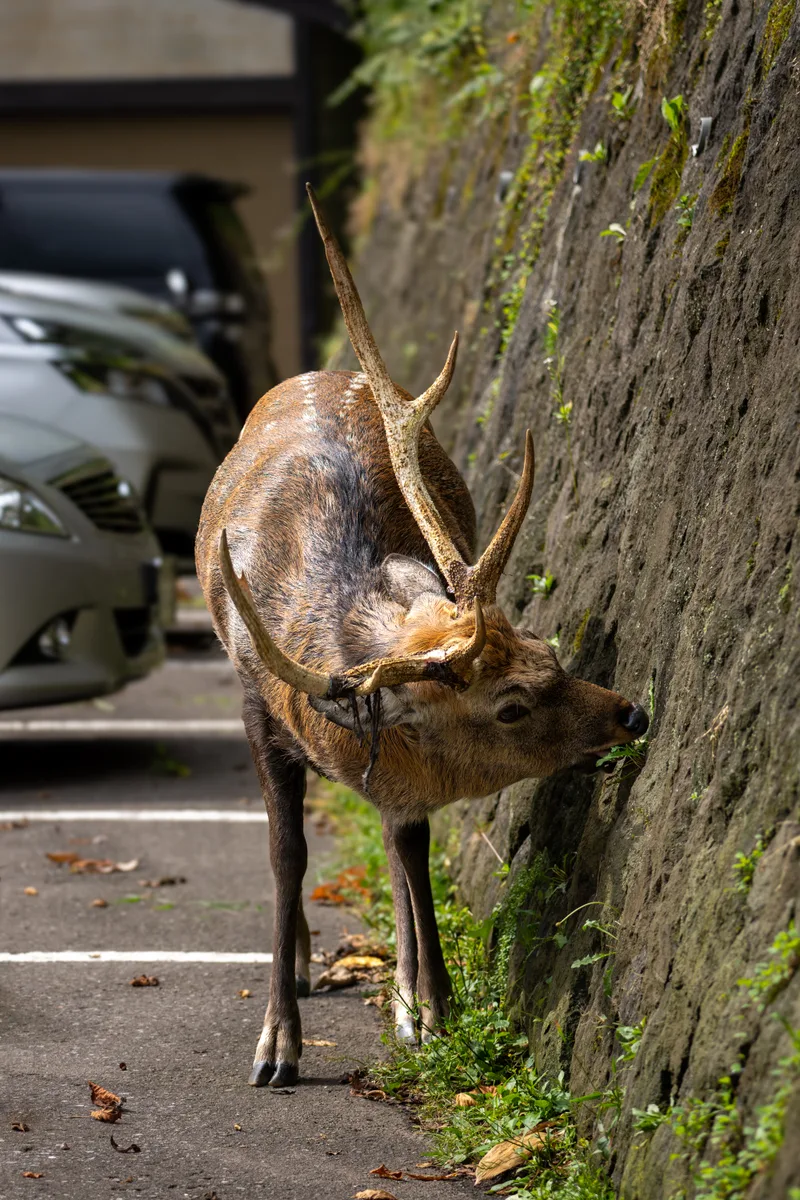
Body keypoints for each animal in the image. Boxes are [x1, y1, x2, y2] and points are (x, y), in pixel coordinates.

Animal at [195, 185, 649, 1089]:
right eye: (510, 706)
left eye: (552, 651)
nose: (631, 713)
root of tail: (319, 367)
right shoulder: (254, 703)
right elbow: (286, 853)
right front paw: (276, 1044)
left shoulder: (400, 767)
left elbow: (408, 840)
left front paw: (429, 1006)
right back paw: (306, 962)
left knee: (392, 833)